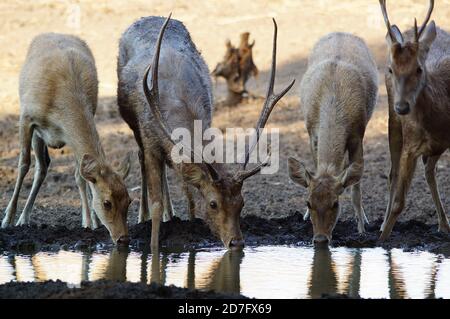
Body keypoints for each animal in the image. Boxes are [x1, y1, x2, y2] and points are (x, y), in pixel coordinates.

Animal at [0, 33, 132, 245]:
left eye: (129, 200)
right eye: (107, 202)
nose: (123, 238)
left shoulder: (71, 137)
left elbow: (80, 176)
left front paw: (89, 222)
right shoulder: (27, 117)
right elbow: (23, 164)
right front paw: (7, 220)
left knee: (44, 165)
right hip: (37, 132)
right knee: (38, 165)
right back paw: (21, 219)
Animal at [116, 14, 294, 250]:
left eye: (241, 202)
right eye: (213, 204)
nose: (236, 241)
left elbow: (190, 198)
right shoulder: (149, 139)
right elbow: (156, 203)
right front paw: (154, 244)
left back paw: (170, 214)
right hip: (132, 124)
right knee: (140, 157)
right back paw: (142, 216)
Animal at [286, 31, 378, 245]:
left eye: (335, 204)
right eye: (308, 202)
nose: (320, 239)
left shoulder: (358, 134)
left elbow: (355, 188)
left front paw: (361, 229)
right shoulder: (312, 132)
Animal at [376, 0, 450, 240]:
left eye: (418, 68)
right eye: (391, 69)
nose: (403, 107)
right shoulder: (410, 146)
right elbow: (399, 202)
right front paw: (382, 239)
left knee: (429, 170)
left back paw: (444, 224)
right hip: (392, 121)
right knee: (393, 174)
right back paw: (381, 225)